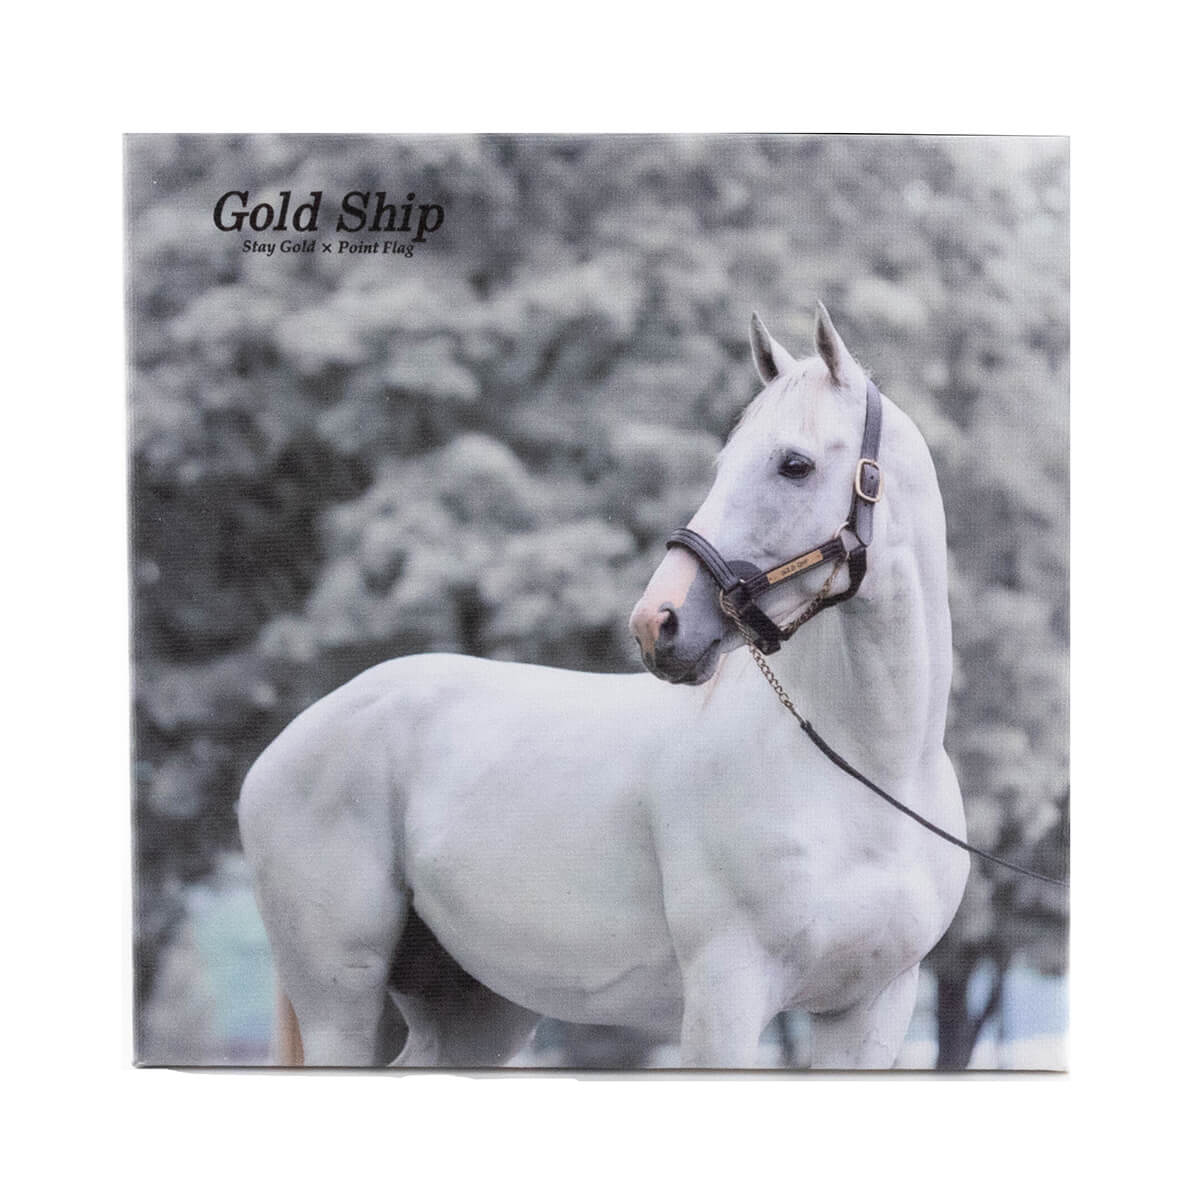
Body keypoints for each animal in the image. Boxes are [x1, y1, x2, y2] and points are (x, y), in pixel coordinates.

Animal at [238, 303, 969, 1069]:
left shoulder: (869, 1009)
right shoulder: (727, 995)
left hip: (473, 1010)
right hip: (342, 1010)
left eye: (793, 464)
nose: (657, 622)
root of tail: (290, 742)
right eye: (723, 464)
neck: (864, 774)